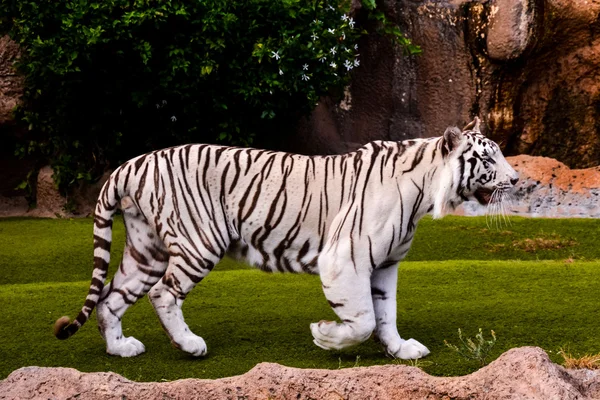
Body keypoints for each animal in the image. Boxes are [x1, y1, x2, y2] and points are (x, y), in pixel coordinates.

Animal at [54, 118, 516, 360]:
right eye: (487, 158)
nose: (515, 179)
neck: (423, 193)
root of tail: (130, 164)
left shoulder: (385, 265)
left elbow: (386, 314)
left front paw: (400, 349)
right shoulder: (346, 258)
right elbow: (363, 319)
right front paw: (325, 336)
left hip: (145, 250)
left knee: (111, 298)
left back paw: (121, 349)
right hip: (198, 242)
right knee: (163, 294)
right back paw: (190, 345)